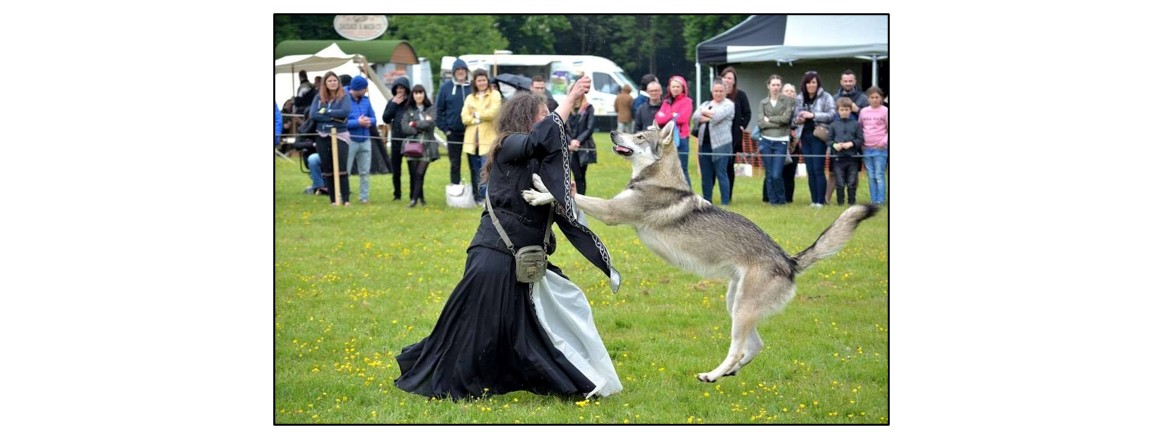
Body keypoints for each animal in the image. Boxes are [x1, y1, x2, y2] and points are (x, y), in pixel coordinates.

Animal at [522, 121, 879, 383]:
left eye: (639, 136)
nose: (611, 132)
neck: (657, 178)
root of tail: (789, 260)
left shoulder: (612, 212)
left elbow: (571, 195)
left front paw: (538, 190)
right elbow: (572, 194)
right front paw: (541, 188)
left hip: (742, 309)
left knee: (738, 349)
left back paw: (712, 374)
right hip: (735, 304)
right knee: (754, 346)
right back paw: (727, 373)